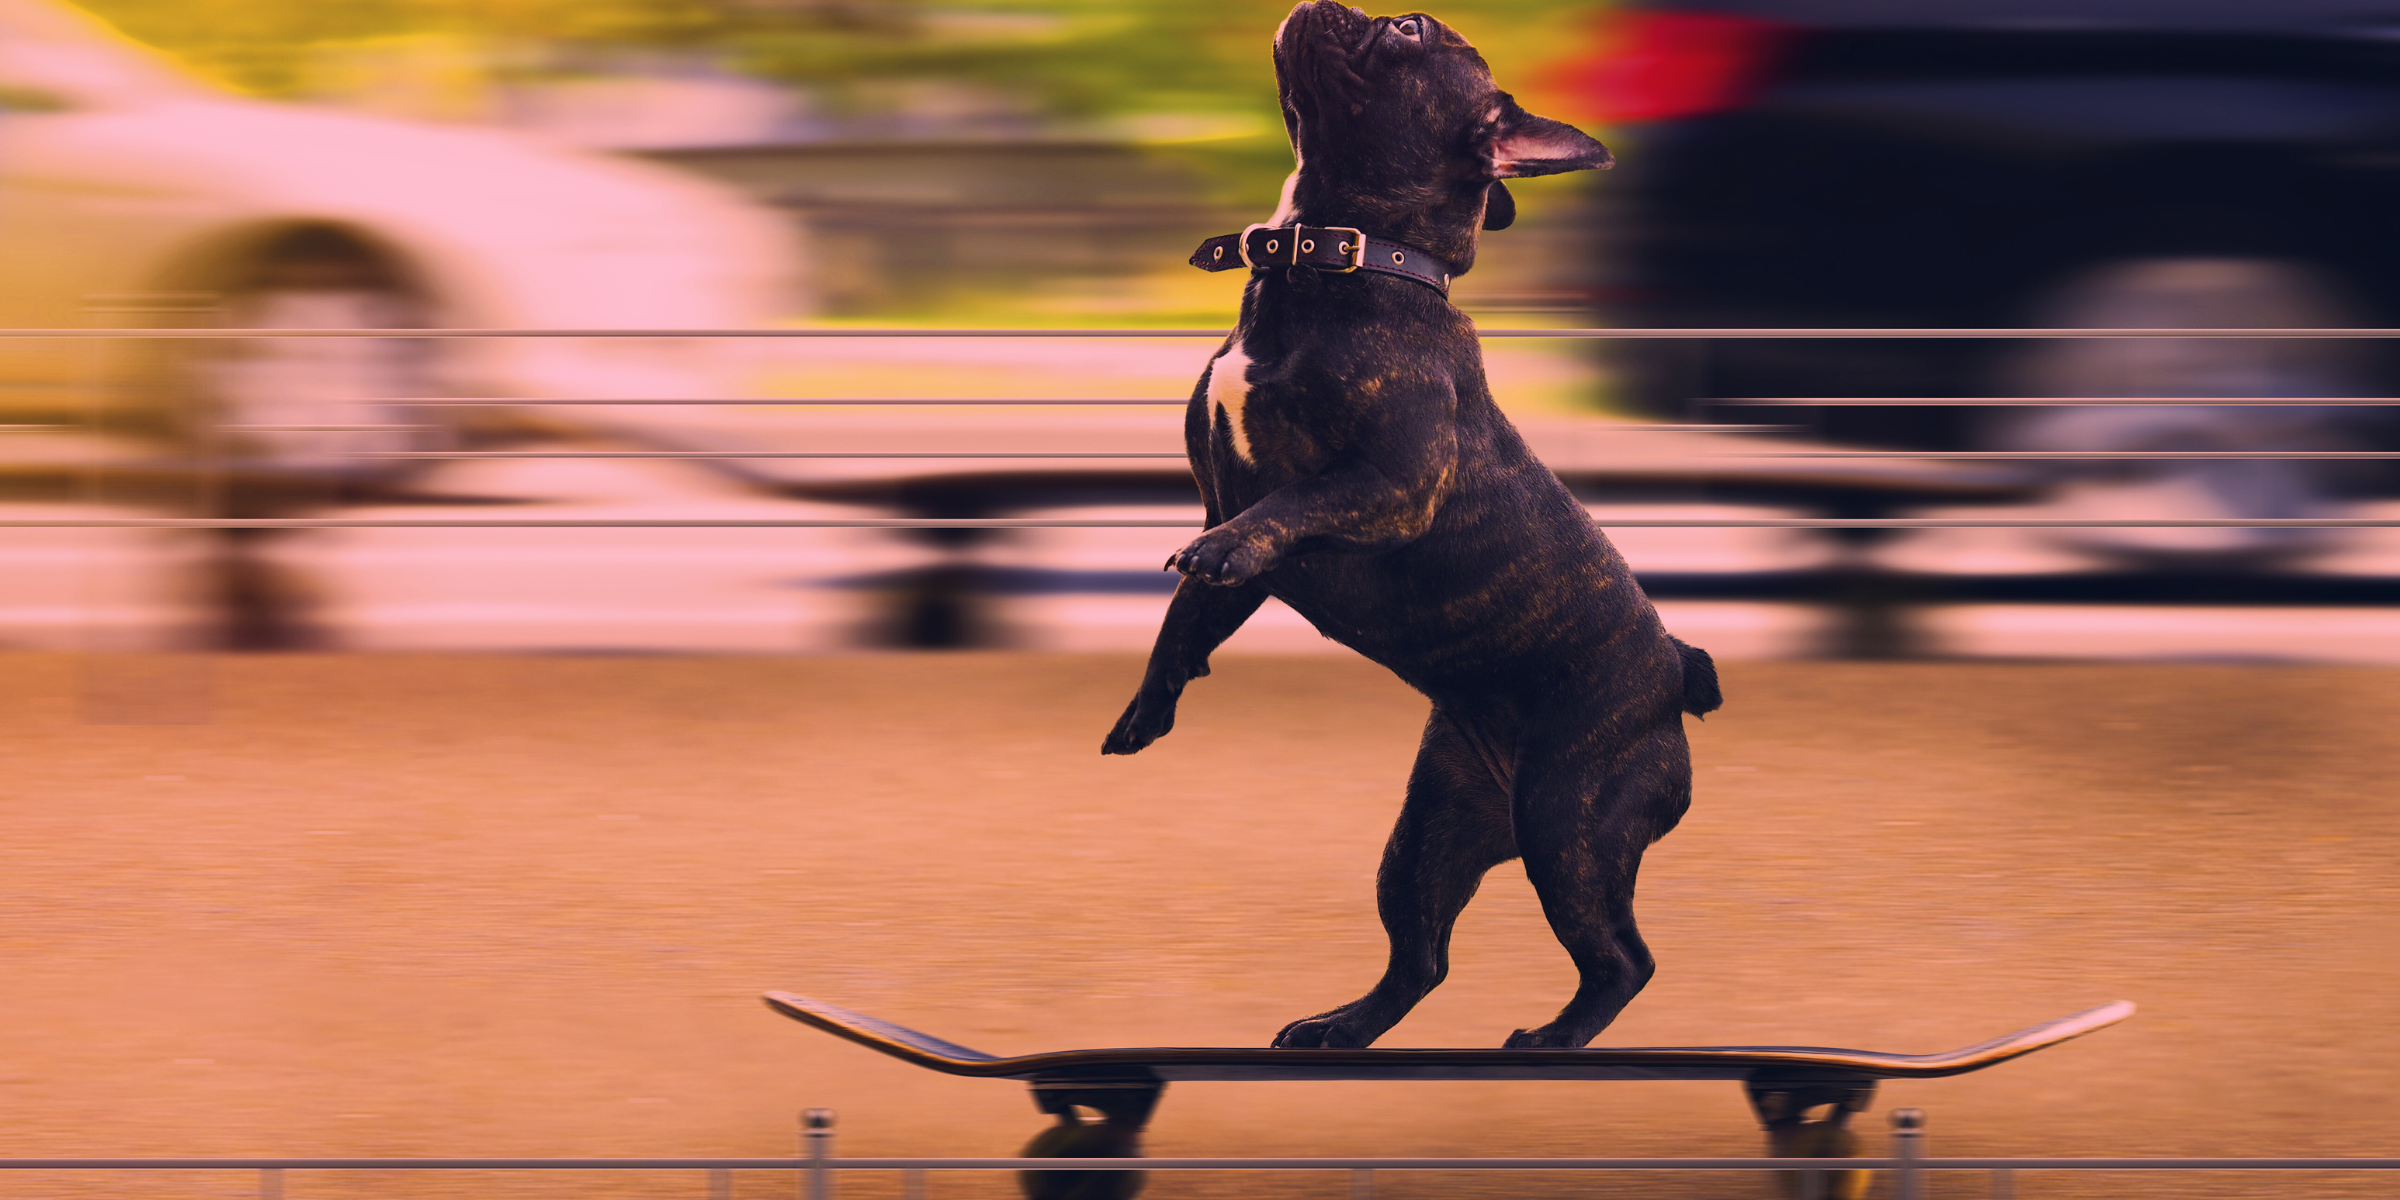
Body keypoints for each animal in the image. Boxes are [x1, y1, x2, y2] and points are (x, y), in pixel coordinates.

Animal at [1099, 0, 1718, 1051]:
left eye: (1409, 31)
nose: (1341, 5)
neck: (1337, 261)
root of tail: (1678, 676)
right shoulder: (1230, 502)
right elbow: (1190, 613)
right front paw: (1150, 703)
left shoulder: (1392, 481)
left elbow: (1280, 512)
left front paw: (1207, 566)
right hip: (1432, 828)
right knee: (1420, 952)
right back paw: (1339, 1029)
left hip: (1571, 822)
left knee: (1622, 958)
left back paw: (1551, 1043)